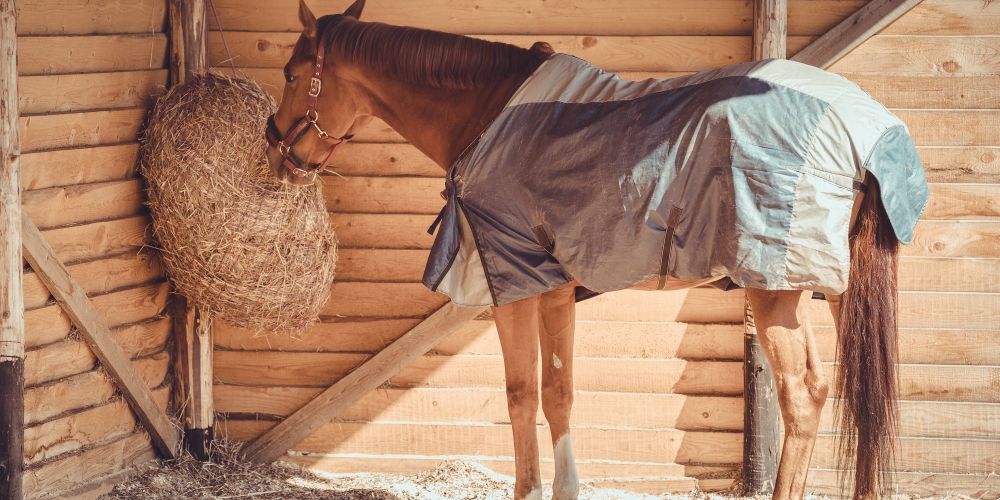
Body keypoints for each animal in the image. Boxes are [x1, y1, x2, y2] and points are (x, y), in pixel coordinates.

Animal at [264, 1, 928, 498]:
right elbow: (558, 394)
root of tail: (864, 131)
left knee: (803, 396)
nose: (277, 151)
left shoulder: (512, 282)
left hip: (776, 293)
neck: (489, 112)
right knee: (861, 399)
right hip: (837, 290)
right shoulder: (553, 288)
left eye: (293, 74)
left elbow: (522, 393)